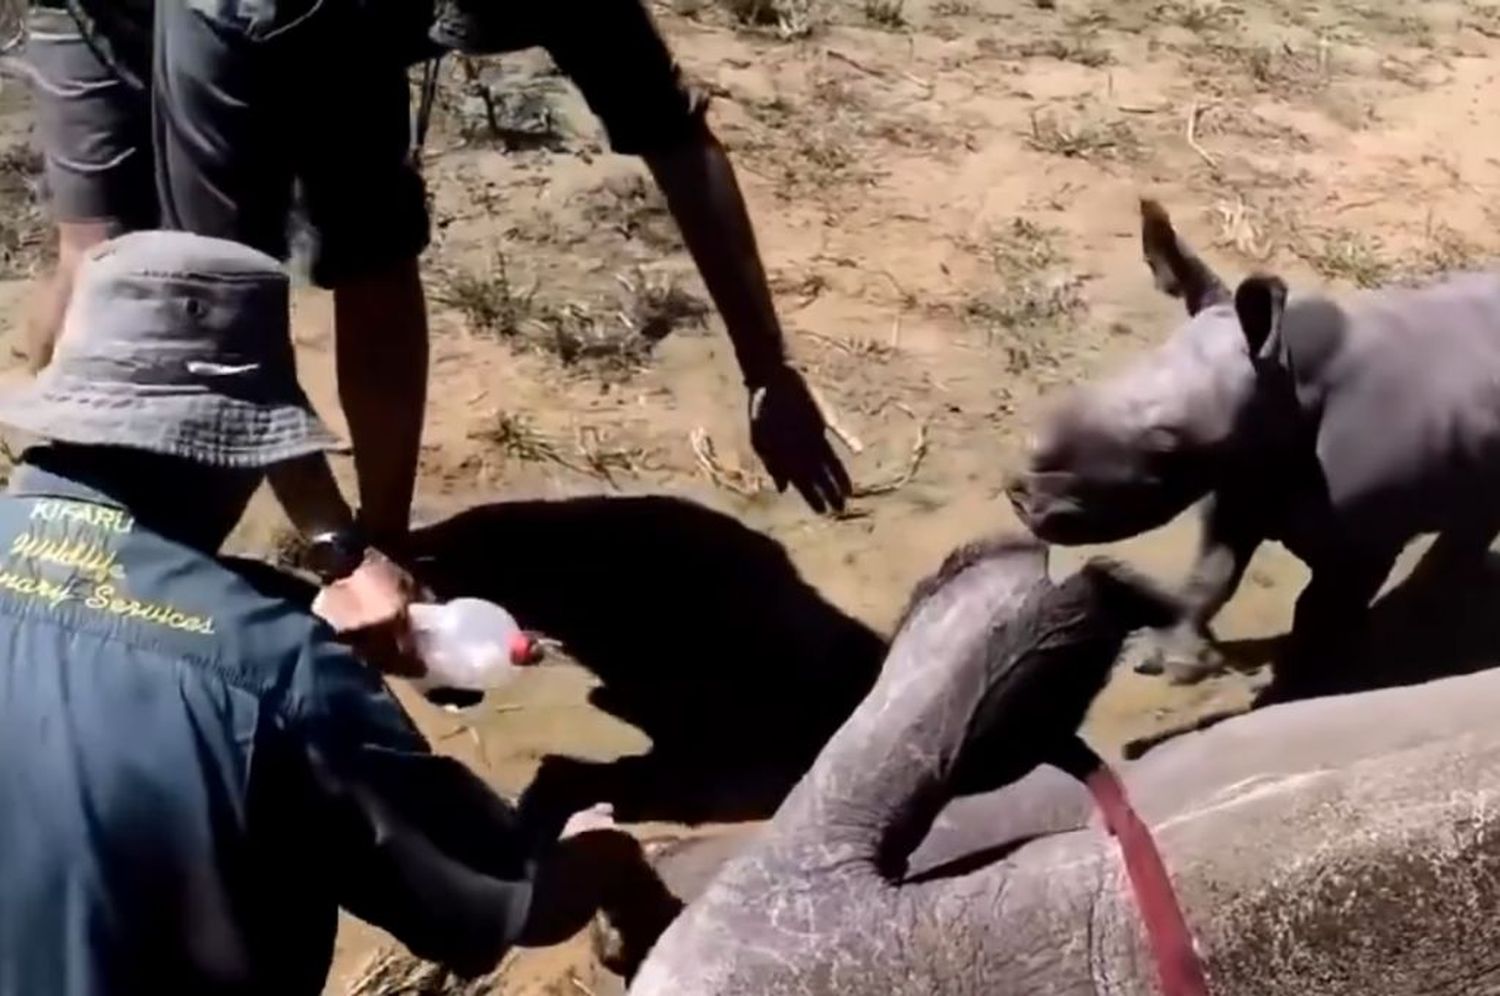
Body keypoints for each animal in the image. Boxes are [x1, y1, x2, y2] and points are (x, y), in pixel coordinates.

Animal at [1002, 198, 1500, 690]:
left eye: (1165, 448)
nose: (1021, 500)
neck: (1288, 380)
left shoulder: (1364, 540)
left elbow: (1318, 609)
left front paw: (1302, 682)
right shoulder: (1243, 477)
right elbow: (1212, 572)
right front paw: (1173, 659)